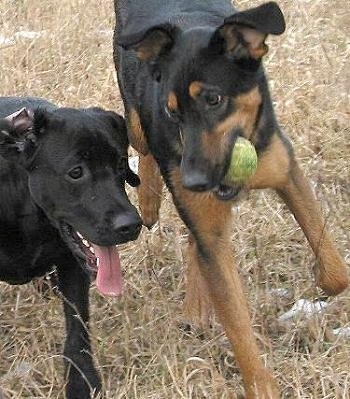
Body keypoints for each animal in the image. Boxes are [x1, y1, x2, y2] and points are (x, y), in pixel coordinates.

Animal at [0, 97, 142, 399]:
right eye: (76, 172)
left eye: (121, 165)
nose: (131, 225)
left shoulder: (71, 264)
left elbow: (77, 326)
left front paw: (82, 381)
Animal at [113, 1, 348, 398]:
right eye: (171, 110)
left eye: (213, 99)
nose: (192, 182)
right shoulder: (205, 217)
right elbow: (236, 321)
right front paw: (260, 385)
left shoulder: (286, 171)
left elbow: (334, 270)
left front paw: (322, 281)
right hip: (135, 121)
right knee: (143, 147)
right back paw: (148, 199)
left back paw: (196, 303)